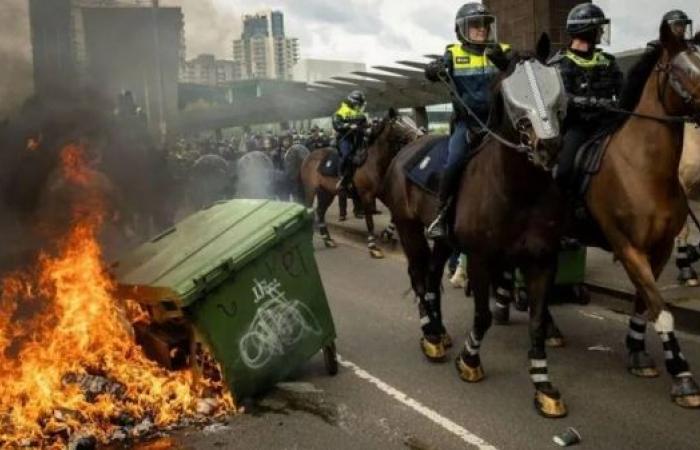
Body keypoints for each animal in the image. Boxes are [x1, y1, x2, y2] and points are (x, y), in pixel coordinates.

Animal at [382, 39, 576, 418]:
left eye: (552, 81)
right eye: (511, 91)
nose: (548, 145)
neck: (519, 190)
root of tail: (408, 148)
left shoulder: (542, 259)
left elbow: (536, 321)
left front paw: (544, 387)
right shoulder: (481, 258)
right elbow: (484, 316)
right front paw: (469, 361)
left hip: (443, 242)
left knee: (431, 277)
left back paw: (439, 330)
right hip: (409, 228)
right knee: (418, 275)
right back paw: (430, 337)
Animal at [576, 25, 700, 408]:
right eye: (684, 71)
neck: (643, 167)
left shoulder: (657, 248)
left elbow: (644, 302)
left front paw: (637, 351)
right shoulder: (627, 246)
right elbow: (661, 309)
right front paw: (682, 374)